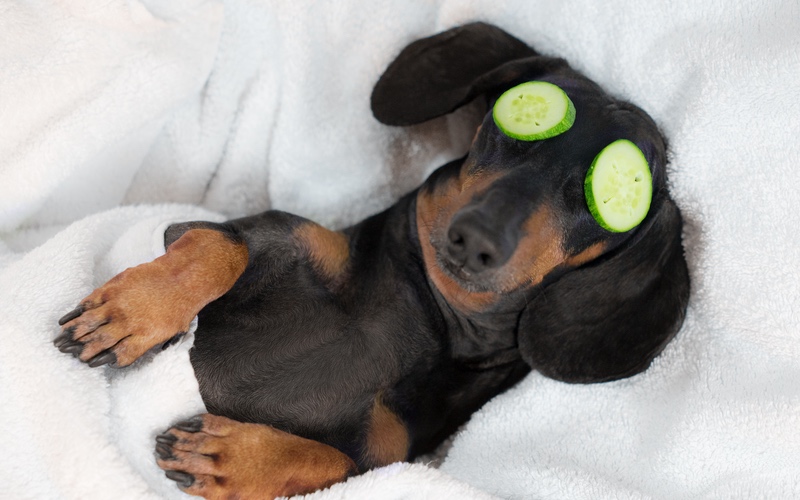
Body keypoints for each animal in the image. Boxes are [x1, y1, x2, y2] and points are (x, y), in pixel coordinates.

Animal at [53, 23, 692, 500]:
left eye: (610, 194)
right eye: (517, 120)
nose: (475, 238)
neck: (430, 317)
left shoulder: (386, 461)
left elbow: (330, 462)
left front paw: (232, 458)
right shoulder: (259, 232)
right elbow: (219, 248)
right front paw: (133, 312)